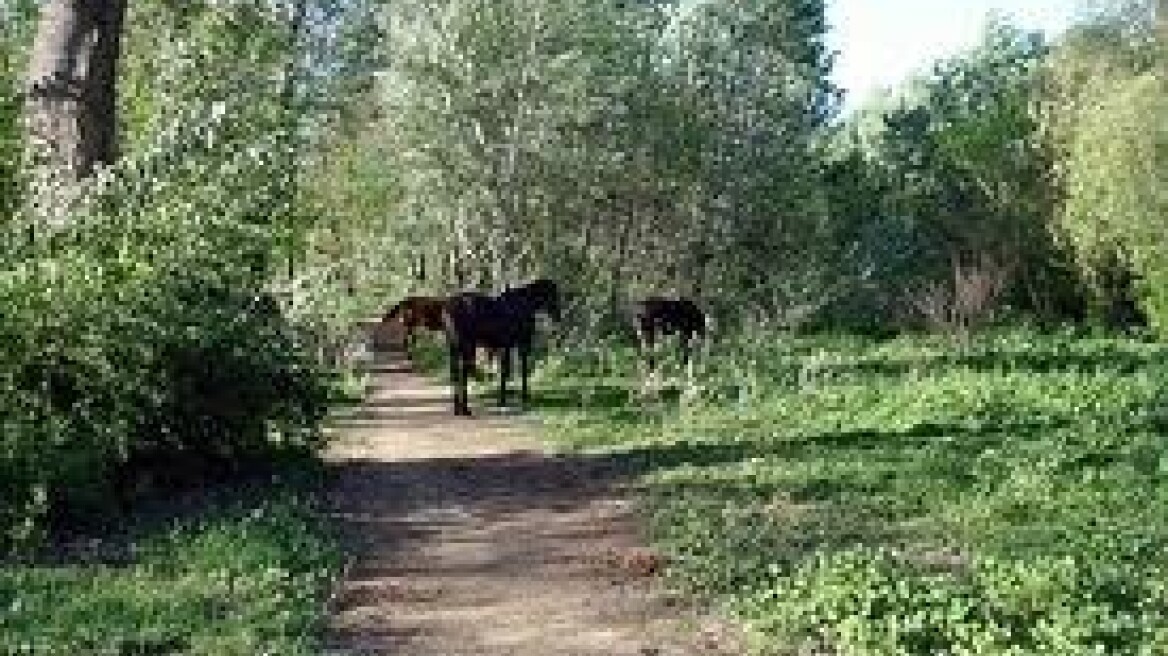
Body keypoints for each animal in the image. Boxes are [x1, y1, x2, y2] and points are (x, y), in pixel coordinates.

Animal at [441, 276, 560, 413]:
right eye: (553, 294)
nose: (557, 315)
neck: (523, 305)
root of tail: (451, 306)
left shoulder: (506, 347)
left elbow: (505, 371)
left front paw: (504, 400)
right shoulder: (521, 345)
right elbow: (516, 371)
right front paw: (518, 399)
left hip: (454, 347)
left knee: (455, 373)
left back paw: (458, 408)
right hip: (467, 346)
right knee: (463, 372)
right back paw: (465, 409)